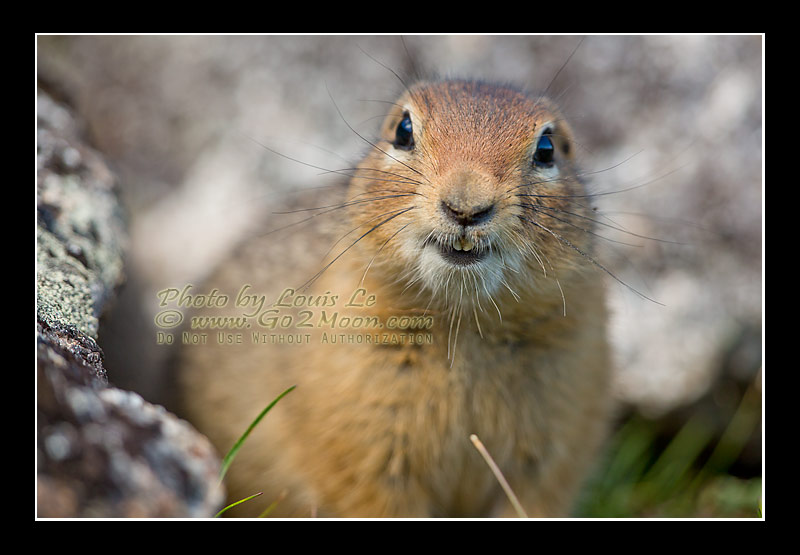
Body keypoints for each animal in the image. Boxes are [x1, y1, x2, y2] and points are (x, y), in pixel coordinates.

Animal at [173, 78, 612, 516]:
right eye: (403, 130)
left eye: (547, 149)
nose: (465, 207)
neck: (462, 325)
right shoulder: (364, 440)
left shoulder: (556, 440)